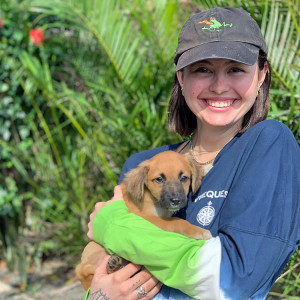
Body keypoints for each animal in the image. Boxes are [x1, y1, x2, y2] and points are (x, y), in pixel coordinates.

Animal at [75, 151, 211, 290]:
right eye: (159, 179)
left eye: (184, 178)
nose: (176, 201)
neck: (151, 197)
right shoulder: (147, 219)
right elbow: (176, 220)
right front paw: (198, 231)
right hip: (93, 248)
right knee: (81, 270)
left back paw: (117, 264)